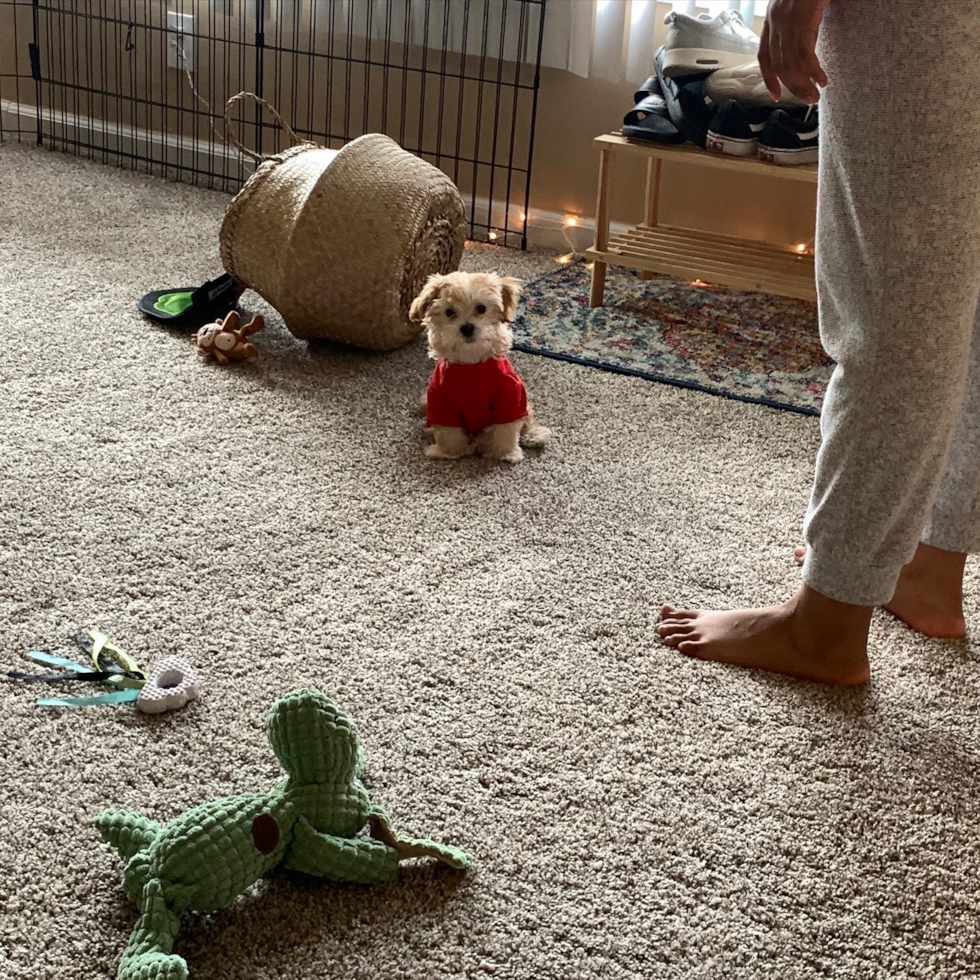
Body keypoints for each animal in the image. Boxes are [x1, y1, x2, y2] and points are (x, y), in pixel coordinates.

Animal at [410, 272, 552, 464]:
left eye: (481, 308)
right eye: (449, 312)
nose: (467, 327)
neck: (472, 364)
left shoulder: (510, 396)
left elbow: (505, 428)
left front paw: (505, 453)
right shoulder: (441, 401)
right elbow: (449, 432)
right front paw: (448, 452)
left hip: (523, 405)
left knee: (526, 419)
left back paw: (535, 435)